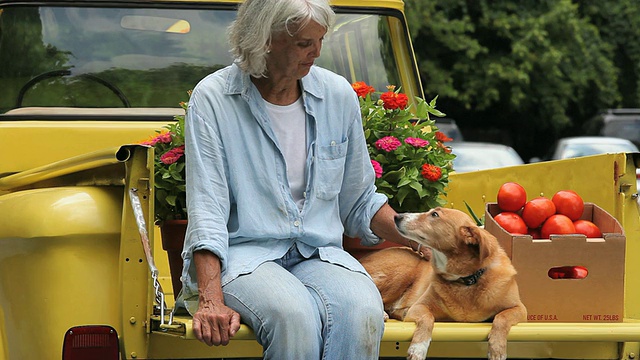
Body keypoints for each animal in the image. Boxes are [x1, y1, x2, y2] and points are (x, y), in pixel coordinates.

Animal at [362, 208, 528, 360]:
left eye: (435, 214)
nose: (397, 216)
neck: (465, 280)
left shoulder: (520, 309)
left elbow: (501, 318)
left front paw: (497, 349)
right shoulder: (419, 306)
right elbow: (427, 318)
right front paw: (418, 348)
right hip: (400, 273)